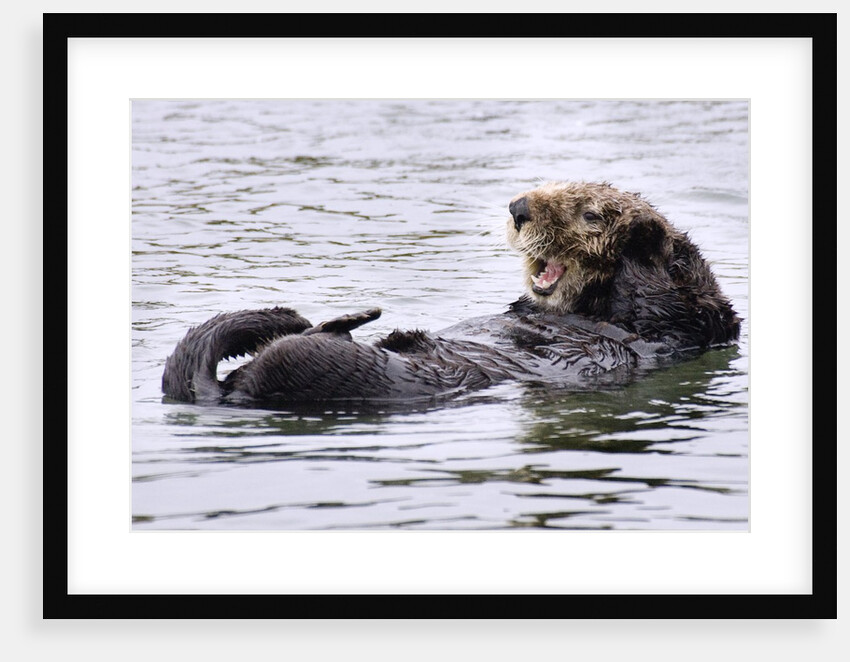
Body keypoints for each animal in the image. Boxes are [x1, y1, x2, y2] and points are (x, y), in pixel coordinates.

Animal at [162, 181, 740, 405]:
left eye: (589, 214)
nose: (519, 207)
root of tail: (229, 394)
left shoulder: (678, 327)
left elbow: (667, 295)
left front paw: (642, 232)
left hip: (334, 373)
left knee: (299, 350)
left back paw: (352, 322)